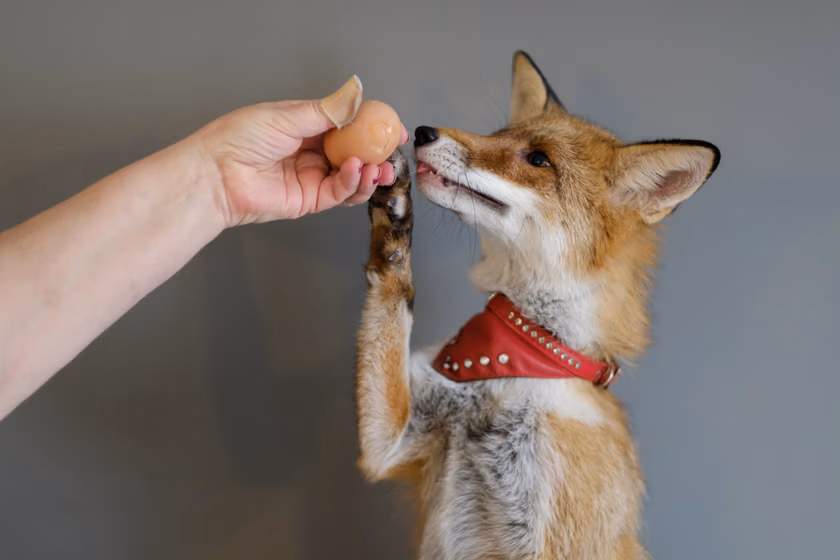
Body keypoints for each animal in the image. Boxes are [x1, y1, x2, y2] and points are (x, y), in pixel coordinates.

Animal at [355, 51, 720, 559]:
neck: (523, 358)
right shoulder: (391, 444)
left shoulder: (551, 543)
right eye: (498, 134)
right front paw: (393, 224)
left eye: (538, 159)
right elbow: (393, 290)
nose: (425, 132)